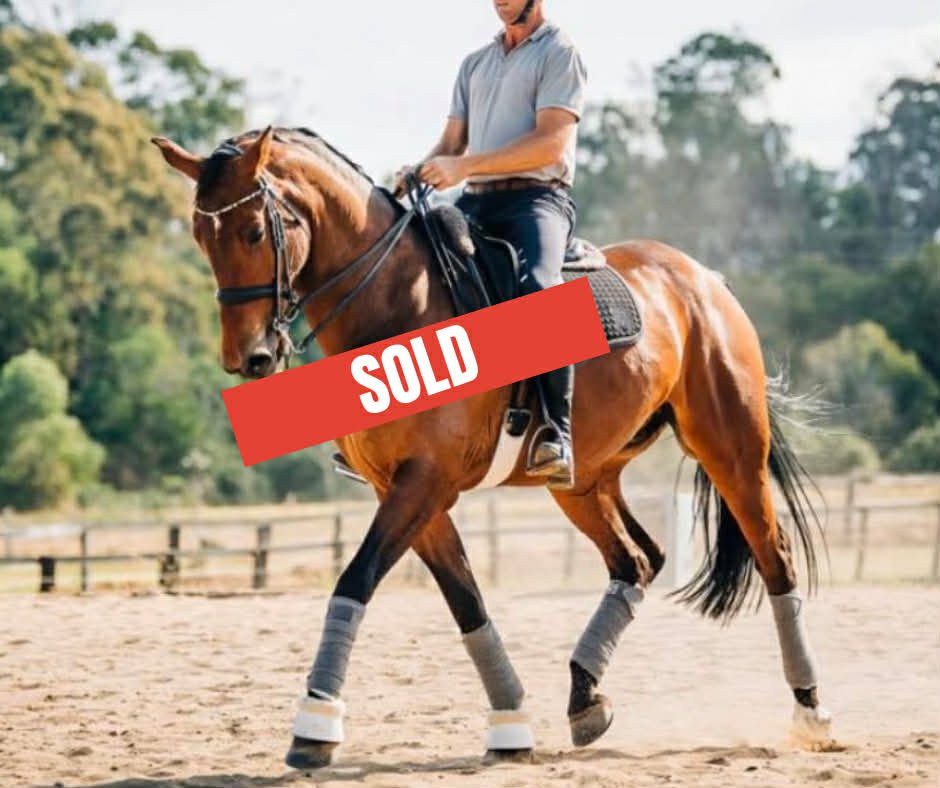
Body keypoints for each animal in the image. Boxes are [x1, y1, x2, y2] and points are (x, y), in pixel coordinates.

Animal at [152, 126, 834, 768]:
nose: (248, 359)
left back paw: (811, 713)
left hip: (731, 452)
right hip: (585, 481)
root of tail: (703, 278)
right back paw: (585, 698)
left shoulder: (424, 482)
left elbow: (356, 578)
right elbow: (466, 603)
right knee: (637, 561)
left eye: (251, 233)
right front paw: (509, 724)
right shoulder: (409, 491)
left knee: (775, 560)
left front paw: (314, 725)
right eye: (200, 237)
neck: (396, 303)